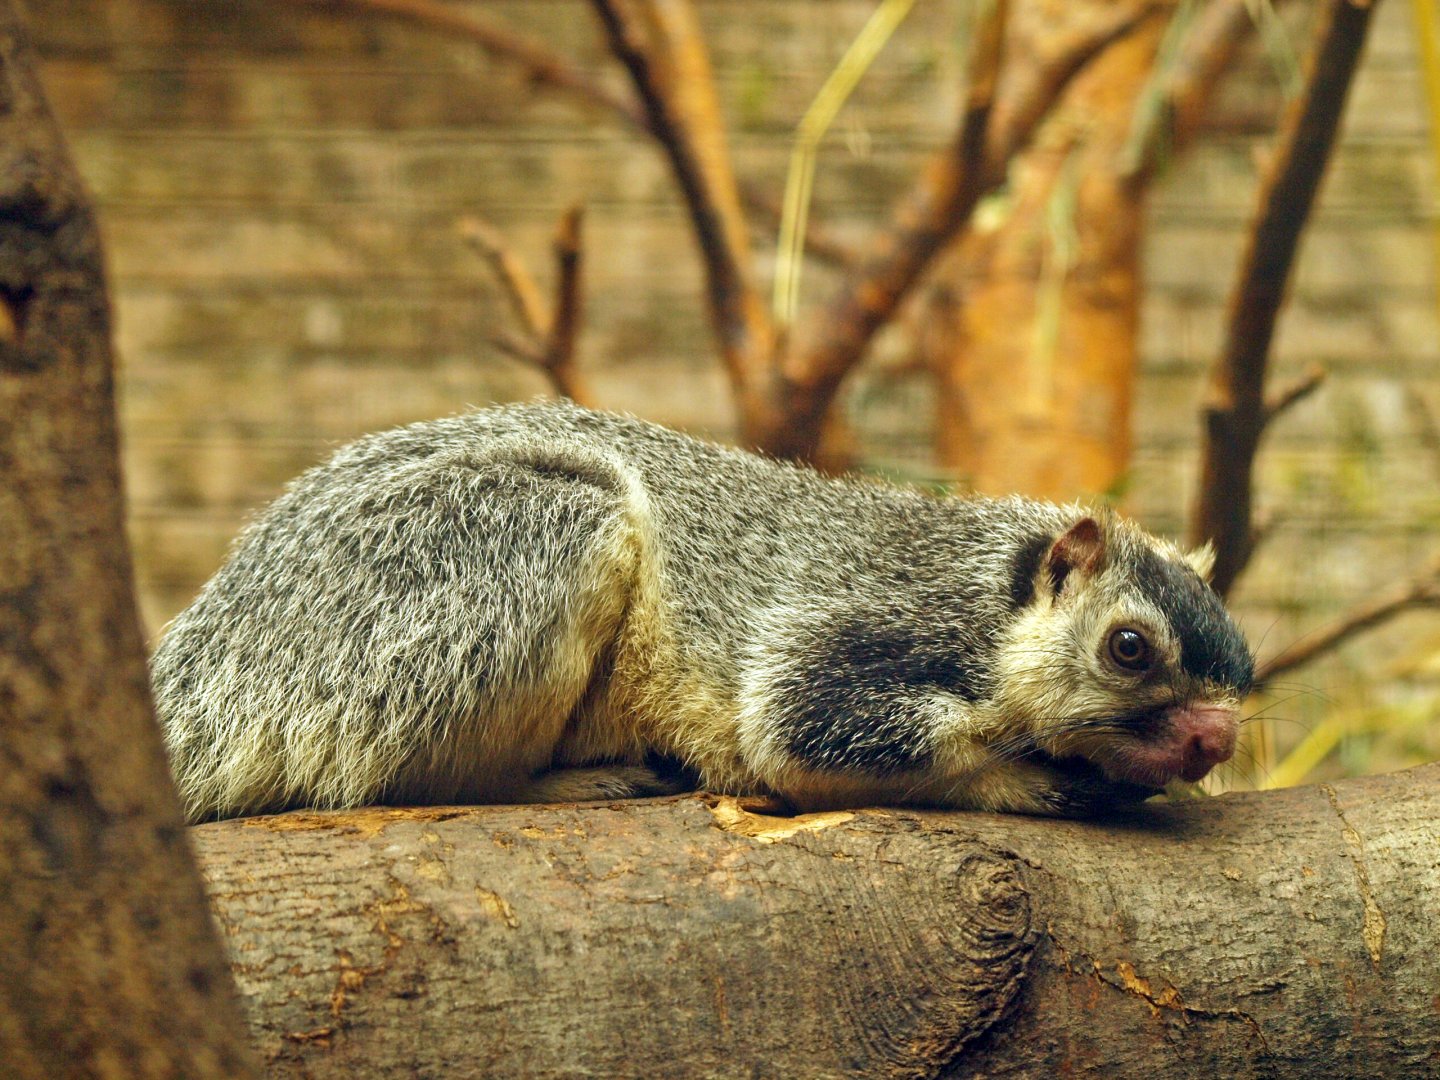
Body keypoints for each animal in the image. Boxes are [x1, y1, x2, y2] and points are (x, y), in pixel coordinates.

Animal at [151, 400, 1253, 823]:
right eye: (1128, 647)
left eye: (1243, 671)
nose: (1212, 739)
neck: (990, 595)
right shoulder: (842, 640)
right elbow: (812, 733)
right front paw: (1040, 779)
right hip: (529, 543)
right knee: (398, 777)